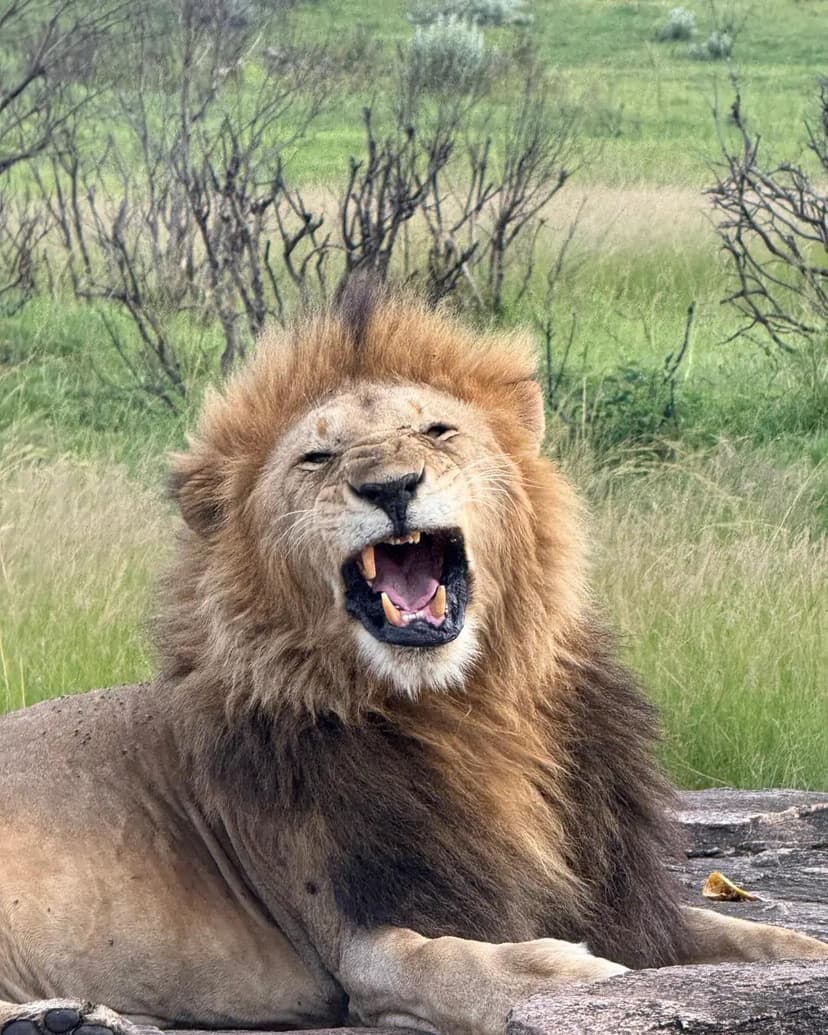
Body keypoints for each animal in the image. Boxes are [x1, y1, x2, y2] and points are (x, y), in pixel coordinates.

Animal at [1, 282, 825, 1035]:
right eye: (317, 456)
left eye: (437, 430)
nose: (391, 485)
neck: (464, 711)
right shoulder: (353, 945)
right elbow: (454, 962)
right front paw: (574, 972)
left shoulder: (622, 897)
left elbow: (761, 936)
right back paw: (60, 1017)